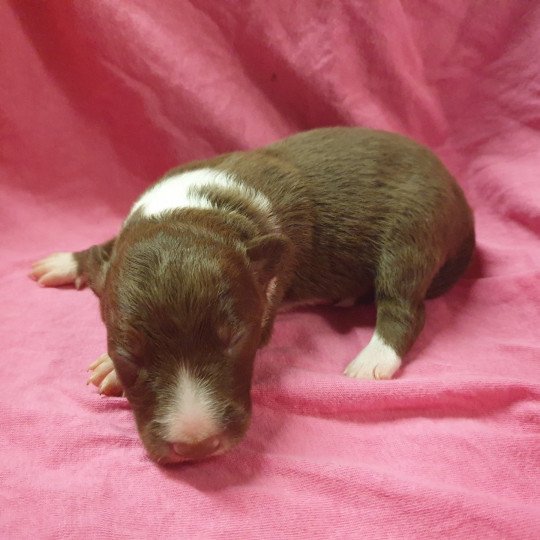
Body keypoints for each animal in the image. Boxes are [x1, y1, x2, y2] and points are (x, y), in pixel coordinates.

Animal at [31, 127, 474, 464]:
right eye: (130, 354)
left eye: (237, 339)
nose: (197, 446)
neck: (198, 207)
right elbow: (102, 251)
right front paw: (68, 261)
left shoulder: (266, 302)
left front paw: (106, 369)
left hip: (413, 228)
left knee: (405, 306)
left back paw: (372, 359)